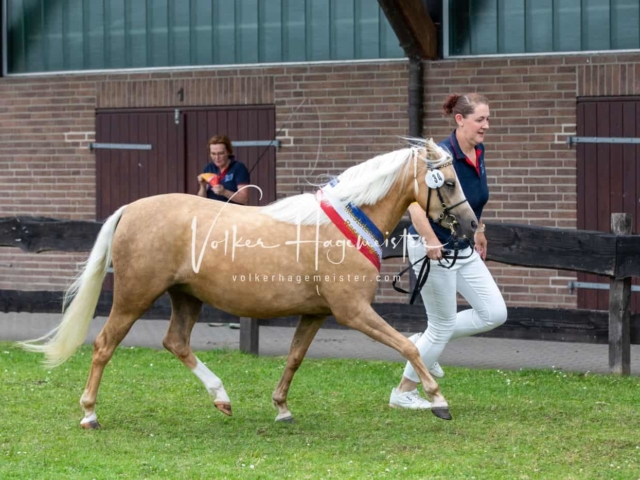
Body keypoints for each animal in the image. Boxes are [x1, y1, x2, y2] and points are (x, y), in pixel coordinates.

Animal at [20, 139, 478, 428]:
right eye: (448, 182)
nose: (472, 225)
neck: (345, 225)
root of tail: (131, 209)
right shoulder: (353, 312)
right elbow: (407, 345)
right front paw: (438, 400)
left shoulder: (316, 314)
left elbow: (294, 359)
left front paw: (281, 408)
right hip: (135, 296)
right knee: (104, 346)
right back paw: (89, 414)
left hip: (186, 297)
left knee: (176, 342)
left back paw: (221, 397)